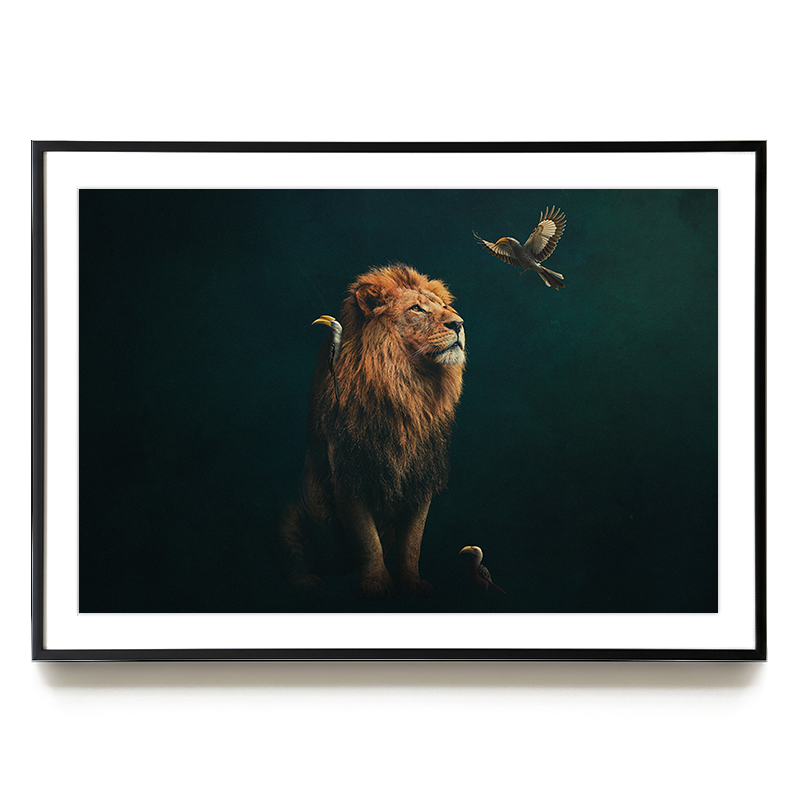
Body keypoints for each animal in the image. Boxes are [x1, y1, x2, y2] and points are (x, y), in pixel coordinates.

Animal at [279, 263, 466, 599]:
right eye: (417, 308)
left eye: (443, 307)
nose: (459, 323)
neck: (410, 388)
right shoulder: (350, 475)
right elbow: (367, 540)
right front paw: (377, 584)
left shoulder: (421, 479)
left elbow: (412, 543)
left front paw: (411, 582)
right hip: (289, 512)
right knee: (294, 556)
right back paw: (306, 581)